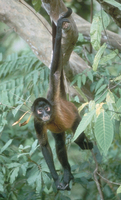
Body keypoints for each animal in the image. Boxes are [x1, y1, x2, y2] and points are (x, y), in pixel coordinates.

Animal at [31, 7, 92, 191]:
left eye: (47, 108)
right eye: (39, 111)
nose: (45, 114)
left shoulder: (52, 97)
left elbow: (56, 71)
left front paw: (58, 32)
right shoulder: (37, 122)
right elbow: (44, 144)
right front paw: (56, 178)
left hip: (76, 117)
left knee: (78, 136)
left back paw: (86, 146)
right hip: (58, 130)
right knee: (59, 144)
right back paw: (67, 172)